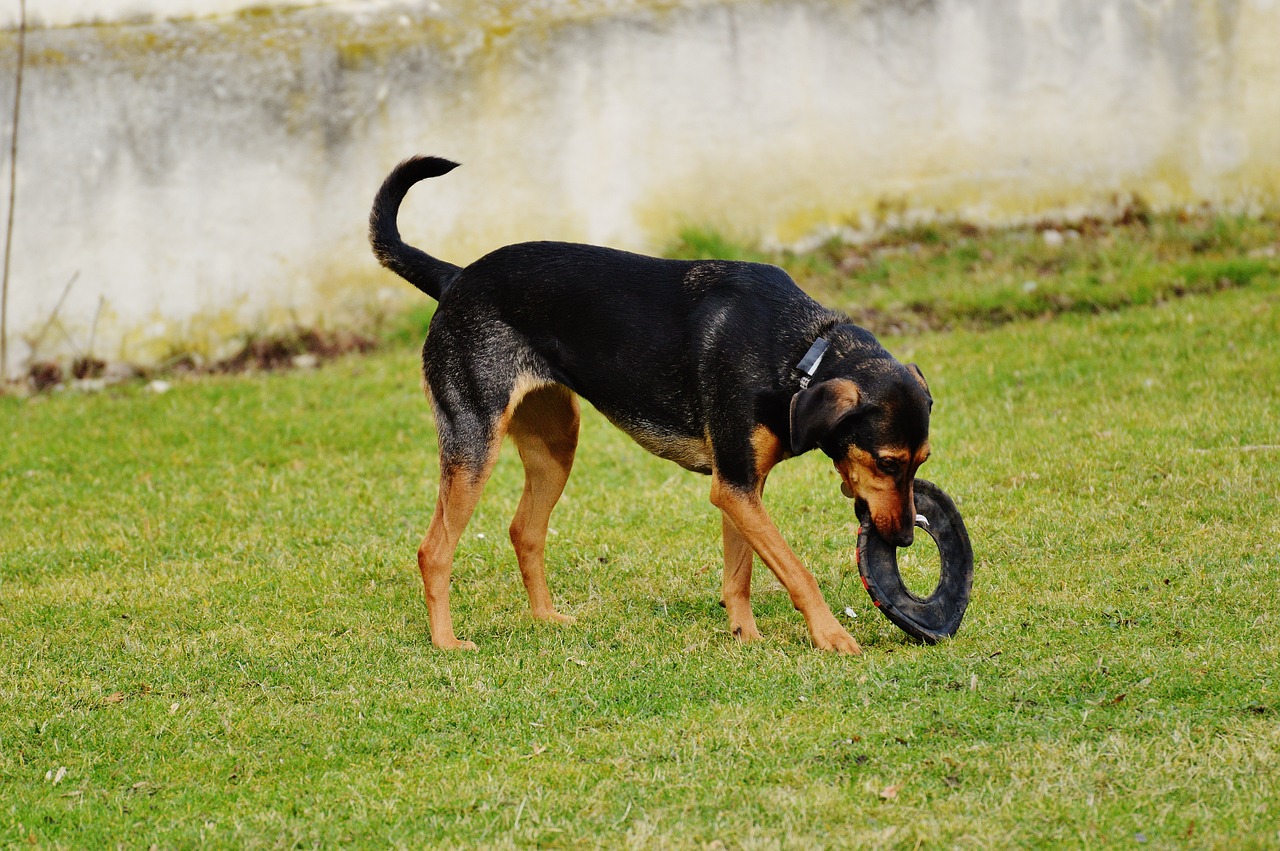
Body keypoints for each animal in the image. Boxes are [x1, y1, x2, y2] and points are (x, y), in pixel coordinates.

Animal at [371, 156, 931, 652]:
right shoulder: (735, 487)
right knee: (433, 551)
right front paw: (831, 637)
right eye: (886, 463)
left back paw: (547, 619)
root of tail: (455, 277)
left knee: (524, 532)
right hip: (473, 446)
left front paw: (746, 637)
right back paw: (446, 643)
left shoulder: (742, 487)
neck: (801, 354)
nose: (907, 538)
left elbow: (740, 574)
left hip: (556, 445)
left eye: (922, 462)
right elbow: (797, 571)